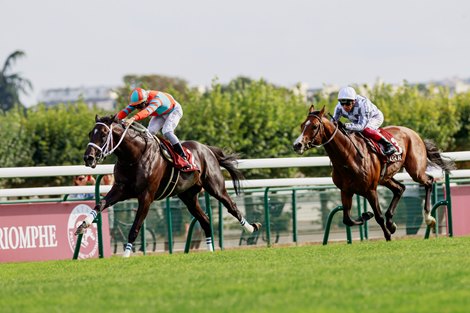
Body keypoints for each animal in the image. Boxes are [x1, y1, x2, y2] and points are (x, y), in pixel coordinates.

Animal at [75, 115, 262, 256]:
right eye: (90, 133)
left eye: (104, 133)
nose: (88, 158)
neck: (134, 157)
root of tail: (207, 149)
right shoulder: (121, 189)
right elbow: (101, 204)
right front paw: (83, 225)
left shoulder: (146, 196)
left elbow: (135, 228)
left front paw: (126, 255)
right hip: (188, 196)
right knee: (205, 220)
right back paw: (210, 250)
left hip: (215, 186)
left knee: (231, 207)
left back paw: (251, 228)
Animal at [292, 105, 454, 239]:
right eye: (302, 125)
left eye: (314, 126)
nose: (297, 145)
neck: (348, 156)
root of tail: (414, 134)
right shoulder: (346, 190)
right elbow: (347, 219)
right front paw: (367, 215)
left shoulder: (370, 190)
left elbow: (378, 217)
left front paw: (387, 235)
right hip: (385, 177)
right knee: (400, 188)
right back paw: (391, 223)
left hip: (416, 170)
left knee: (428, 182)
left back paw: (428, 218)